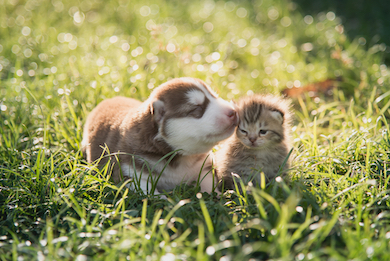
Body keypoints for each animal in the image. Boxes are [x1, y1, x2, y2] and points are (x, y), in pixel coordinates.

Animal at [81, 77, 238, 195]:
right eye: (197, 108)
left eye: (215, 96)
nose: (233, 112)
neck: (181, 157)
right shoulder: (130, 173)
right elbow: (148, 191)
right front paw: (165, 201)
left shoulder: (205, 166)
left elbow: (207, 182)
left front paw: (216, 195)